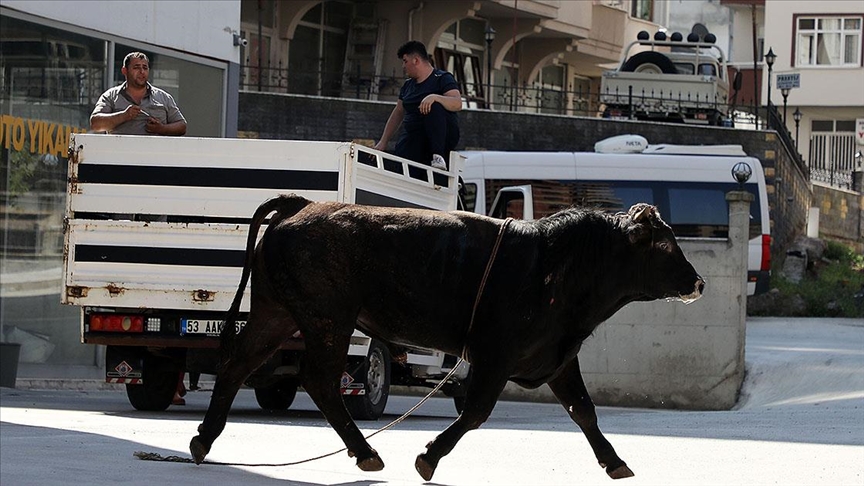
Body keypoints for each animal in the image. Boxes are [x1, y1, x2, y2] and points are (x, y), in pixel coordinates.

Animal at [189, 193, 704, 478]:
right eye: (666, 244)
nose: (699, 283)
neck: (558, 263)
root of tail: (301, 207)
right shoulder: (495, 356)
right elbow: (475, 412)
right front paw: (429, 458)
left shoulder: (557, 357)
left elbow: (585, 411)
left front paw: (615, 462)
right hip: (327, 320)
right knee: (319, 382)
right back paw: (366, 452)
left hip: (276, 314)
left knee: (236, 365)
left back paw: (202, 441)